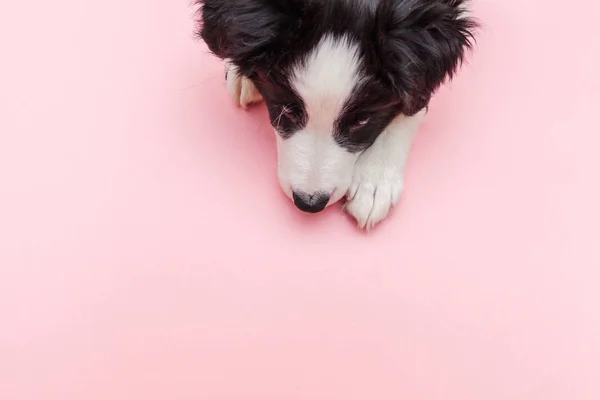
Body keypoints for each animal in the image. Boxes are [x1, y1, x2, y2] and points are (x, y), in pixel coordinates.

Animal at [195, 0, 476, 230]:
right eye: (286, 109)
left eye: (362, 121)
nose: (309, 203)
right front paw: (241, 68)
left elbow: (415, 97)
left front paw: (375, 179)